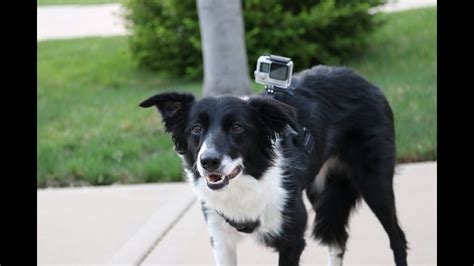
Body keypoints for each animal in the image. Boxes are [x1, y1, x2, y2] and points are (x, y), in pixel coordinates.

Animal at [140, 65, 408, 266]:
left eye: (237, 127)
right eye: (196, 129)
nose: (208, 162)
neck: (248, 182)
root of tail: (361, 79)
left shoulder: (292, 239)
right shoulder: (220, 238)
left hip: (374, 181)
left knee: (397, 238)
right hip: (321, 189)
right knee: (337, 239)